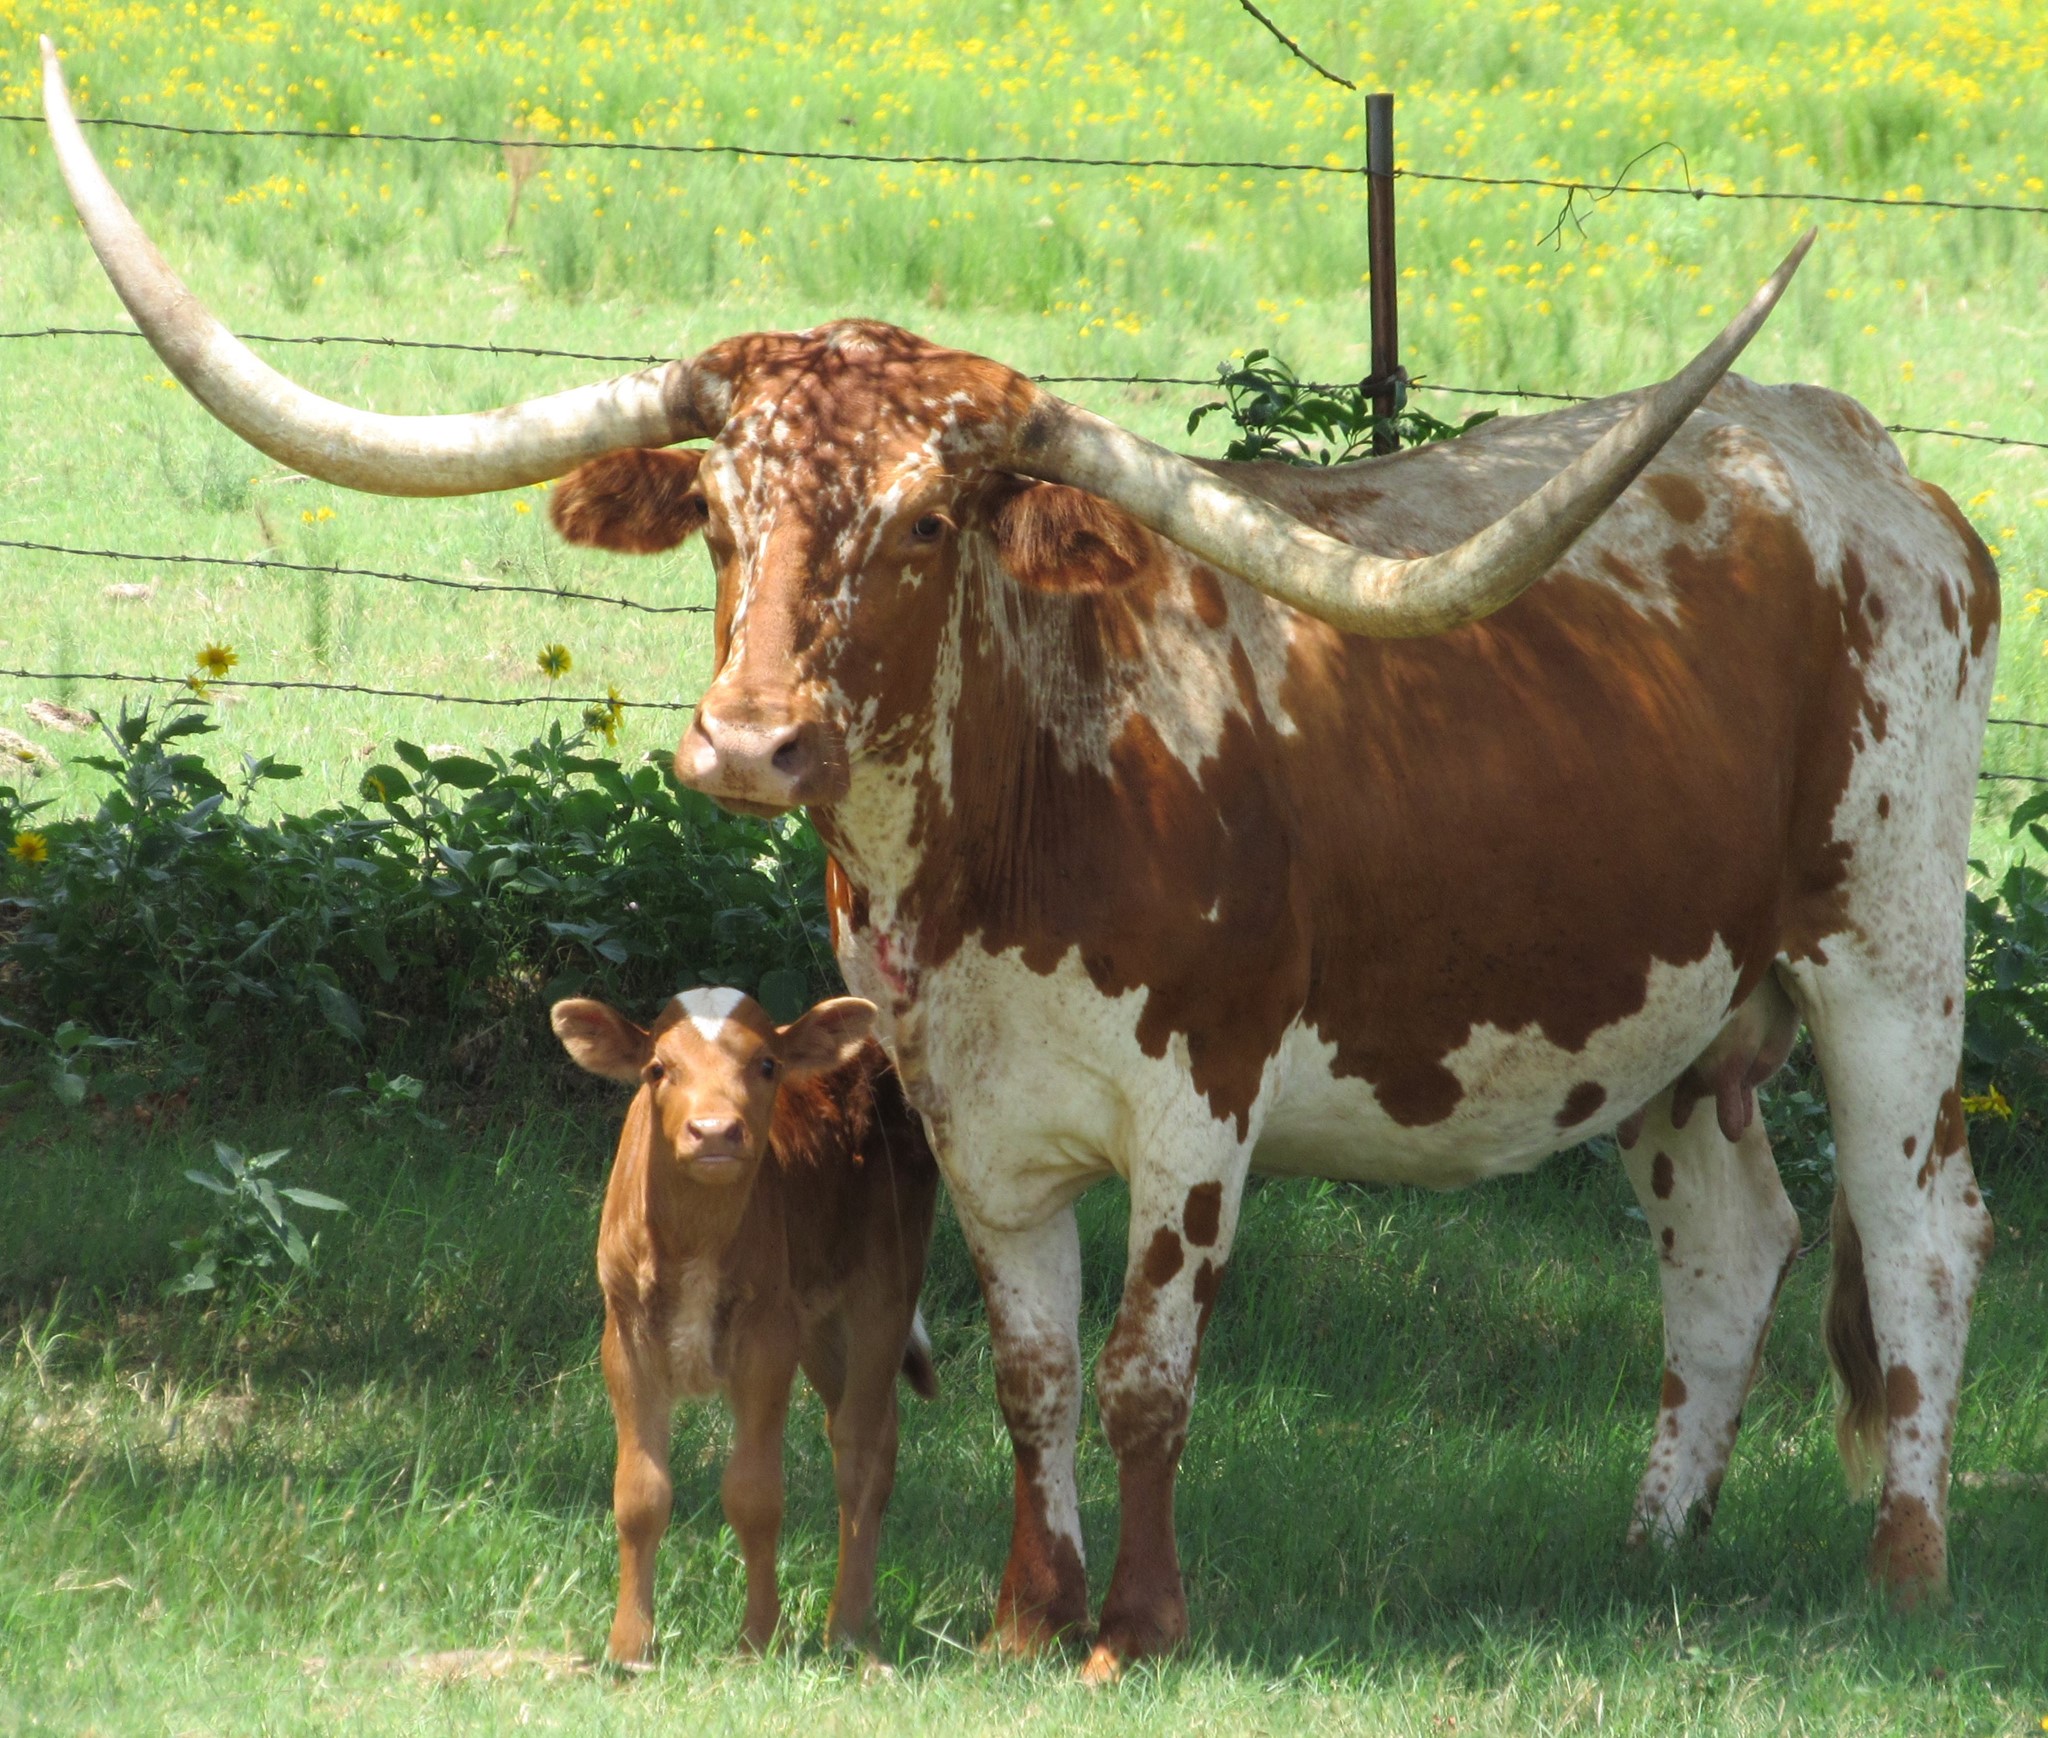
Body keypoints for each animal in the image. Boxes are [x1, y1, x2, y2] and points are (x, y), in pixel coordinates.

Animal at [551, 986, 940, 1662]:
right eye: (658, 1069)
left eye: (766, 1065)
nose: (713, 1131)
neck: (694, 1245)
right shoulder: (624, 1336)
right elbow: (639, 1494)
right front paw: (629, 1647)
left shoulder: (766, 1338)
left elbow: (754, 1495)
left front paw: (758, 1638)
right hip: (818, 1318)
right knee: (866, 1425)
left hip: (887, 1280)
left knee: (863, 1445)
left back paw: (850, 1629)